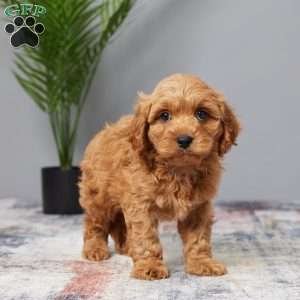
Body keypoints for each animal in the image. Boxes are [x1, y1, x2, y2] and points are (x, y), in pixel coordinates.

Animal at [78, 74, 240, 280]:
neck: (178, 170)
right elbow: (146, 236)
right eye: (164, 115)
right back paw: (95, 249)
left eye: (201, 114)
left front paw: (201, 263)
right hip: (98, 196)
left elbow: (198, 238)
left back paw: (127, 248)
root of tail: (101, 133)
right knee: (94, 223)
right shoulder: (141, 204)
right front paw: (150, 266)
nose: (184, 139)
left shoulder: (198, 207)